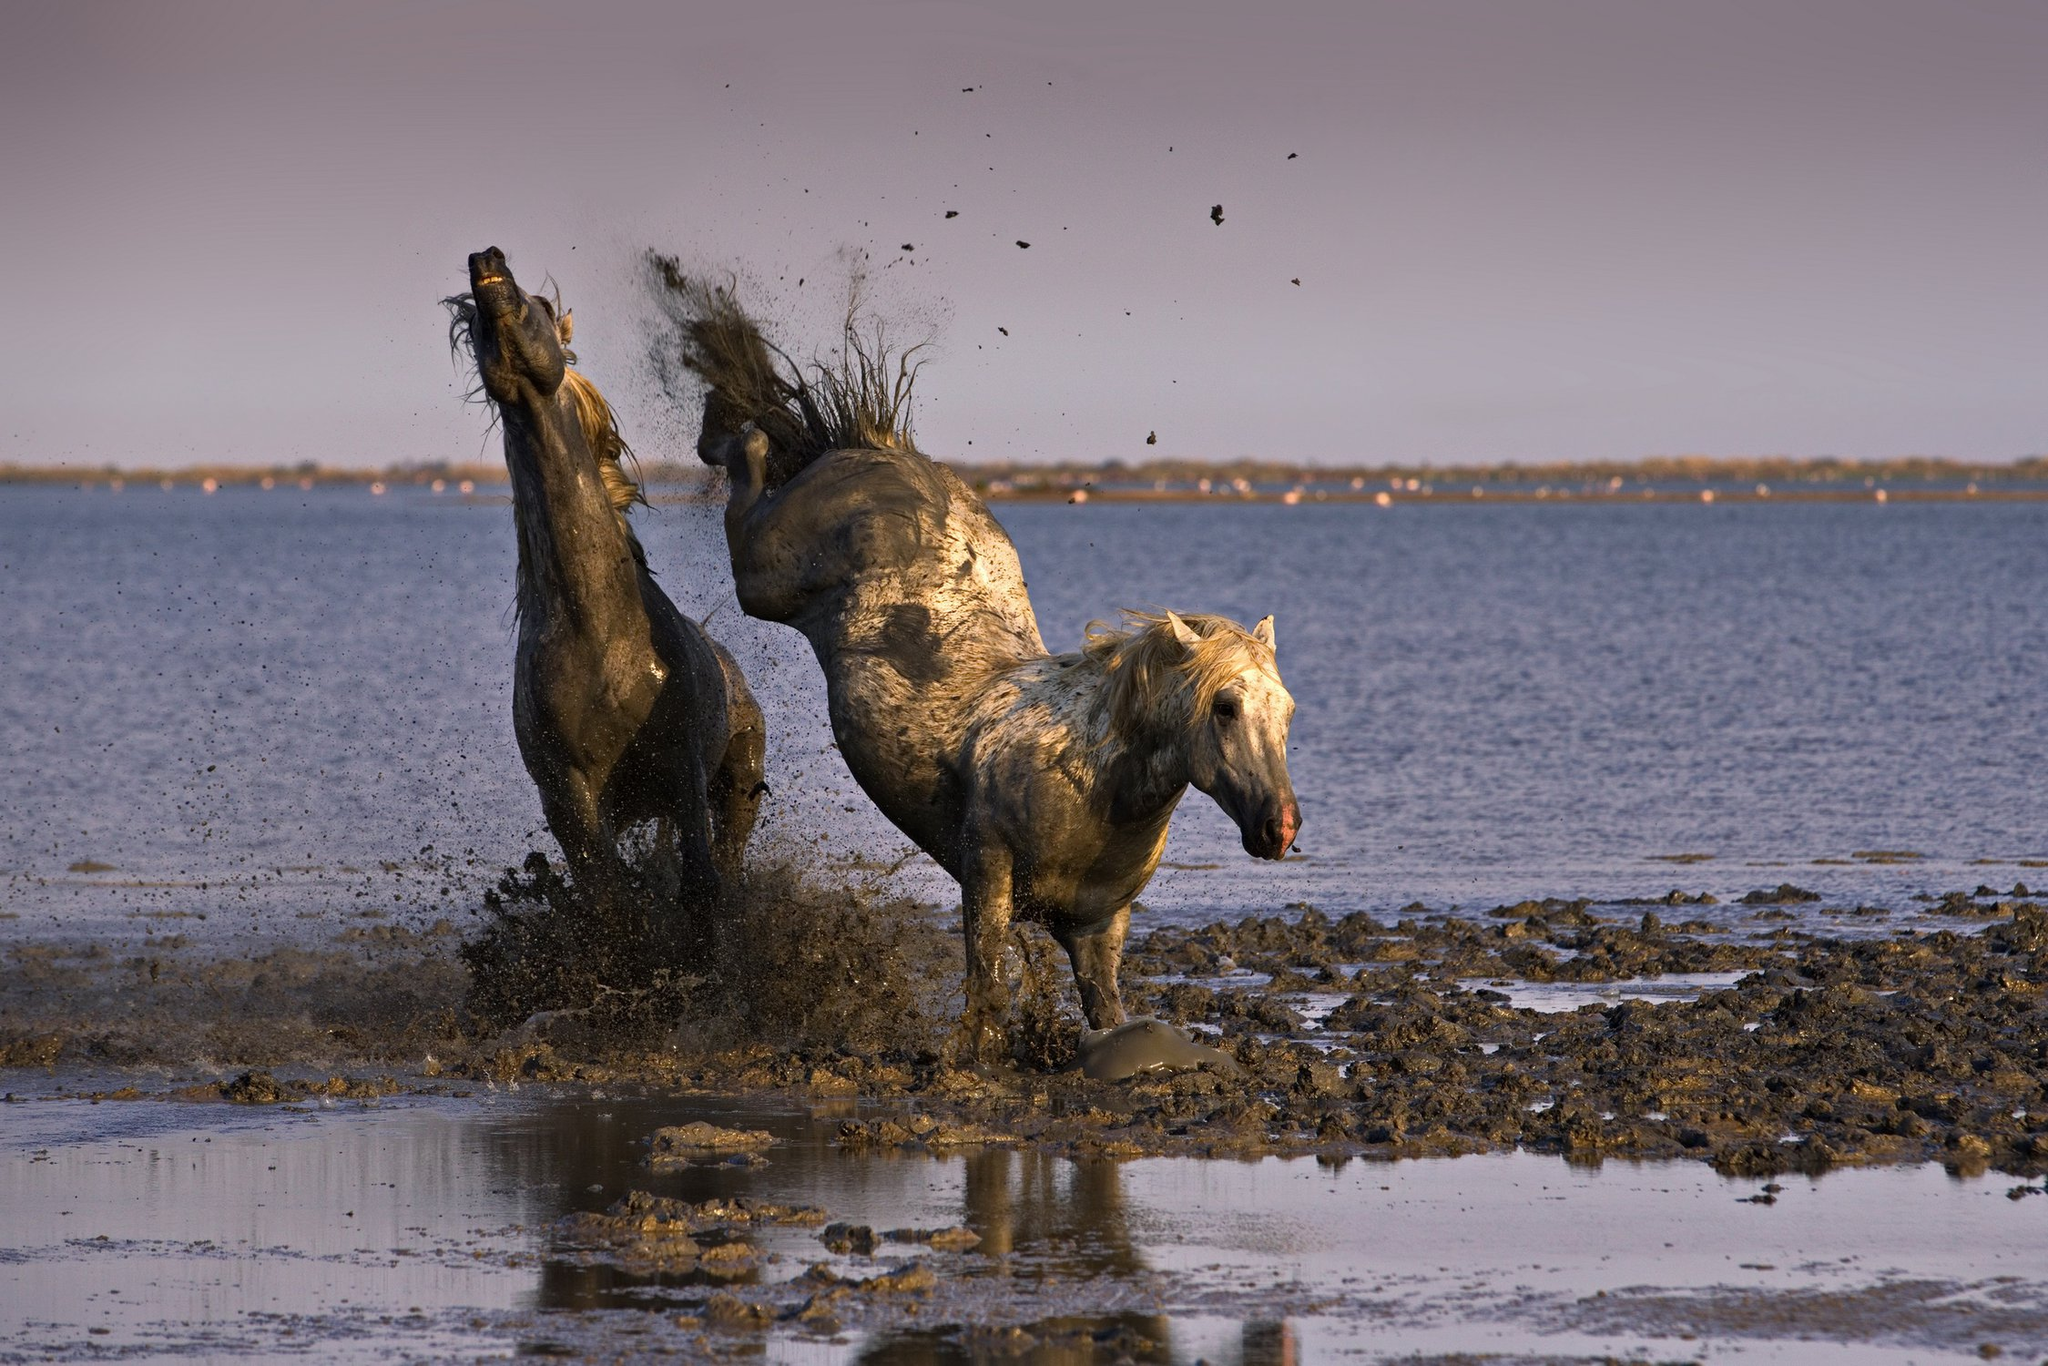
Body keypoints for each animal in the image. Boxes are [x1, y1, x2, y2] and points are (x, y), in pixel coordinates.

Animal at [448, 250, 770, 917]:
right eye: (476, 331)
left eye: (543, 305)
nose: (487, 263)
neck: (599, 633)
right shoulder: (569, 797)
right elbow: (609, 903)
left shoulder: (680, 773)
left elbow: (701, 890)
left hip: (738, 783)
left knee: (727, 868)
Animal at [659, 274, 1294, 1064]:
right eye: (1225, 707)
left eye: (1288, 712)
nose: (1279, 829)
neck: (1091, 774)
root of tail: (873, 451)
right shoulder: (986, 866)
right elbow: (987, 983)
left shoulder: (1097, 927)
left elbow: (1107, 1010)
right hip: (764, 578)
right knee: (746, 479)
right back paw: (733, 434)